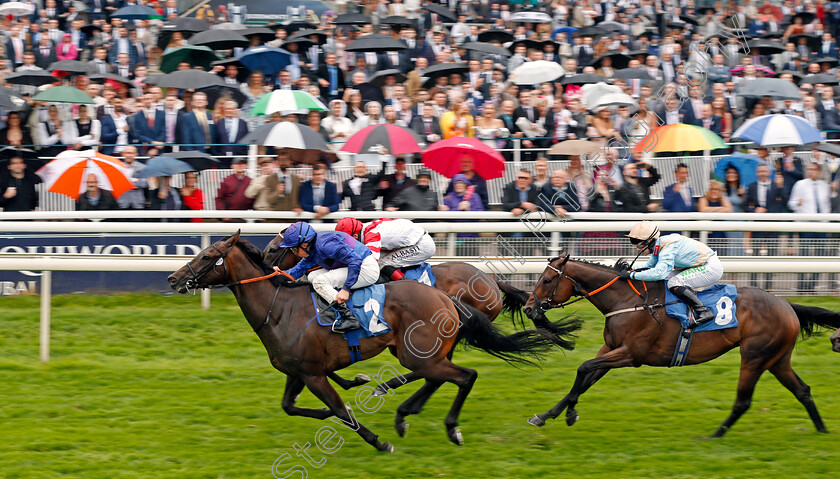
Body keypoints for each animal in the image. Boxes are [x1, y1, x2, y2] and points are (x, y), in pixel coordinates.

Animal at [260, 236, 556, 398]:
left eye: (274, 249)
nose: (265, 264)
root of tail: (492, 280)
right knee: (432, 365)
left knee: (431, 365)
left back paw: (386, 387)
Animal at [520, 255, 840, 438]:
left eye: (546, 280)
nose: (528, 307)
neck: (627, 301)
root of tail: (787, 304)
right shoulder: (609, 351)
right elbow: (584, 378)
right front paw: (545, 416)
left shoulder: (630, 355)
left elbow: (582, 368)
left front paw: (570, 415)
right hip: (777, 359)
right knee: (802, 390)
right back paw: (822, 431)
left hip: (754, 356)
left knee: (744, 401)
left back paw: (715, 435)